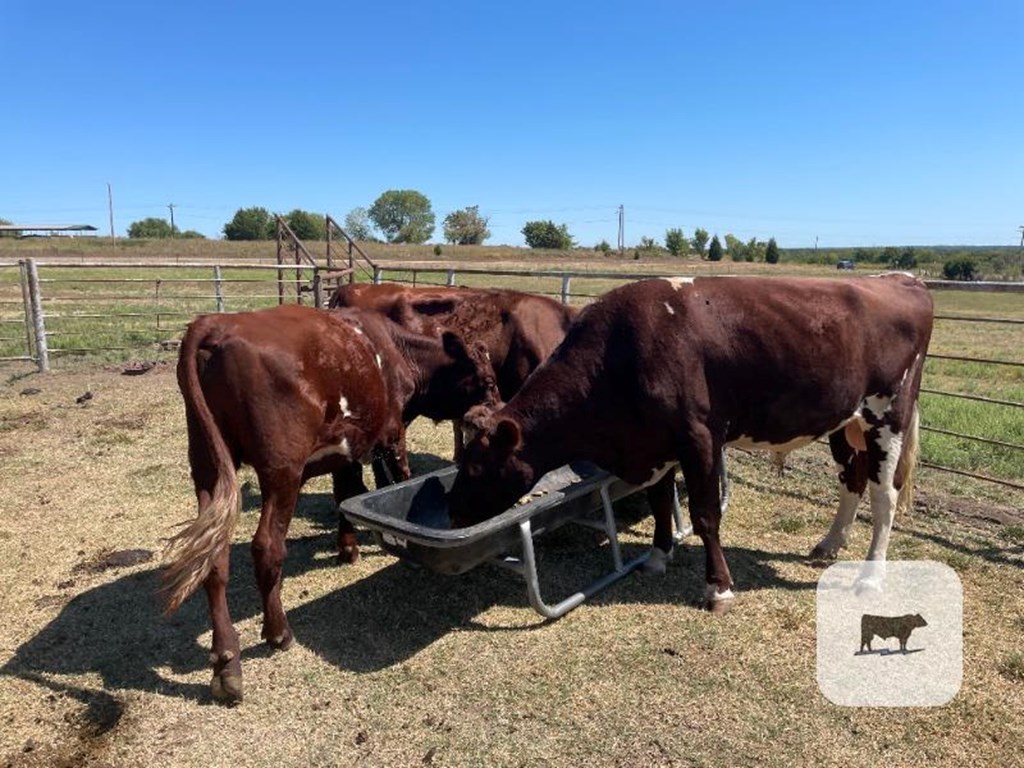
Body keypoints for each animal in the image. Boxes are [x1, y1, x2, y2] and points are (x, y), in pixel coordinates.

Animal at [165, 305, 497, 704]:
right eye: (489, 381)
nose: (497, 414)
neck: (396, 351)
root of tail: (214, 324)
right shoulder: (390, 435)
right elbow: (392, 482)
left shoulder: (346, 448)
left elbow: (346, 495)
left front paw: (348, 547)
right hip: (282, 471)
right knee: (267, 547)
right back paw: (278, 632)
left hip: (207, 468)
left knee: (215, 558)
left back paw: (227, 663)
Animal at [448, 276, 937, 614]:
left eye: (476, 466)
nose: (452, 513)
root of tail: (899, 279)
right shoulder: (656, 441)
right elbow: (661, 502)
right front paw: (657, 556)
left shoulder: (699, 436)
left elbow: (705, 516)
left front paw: (718, 588)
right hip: (845, 422)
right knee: (851, 479)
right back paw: (829, 544)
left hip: (888, 415)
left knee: (884, 496)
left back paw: (871, 575)